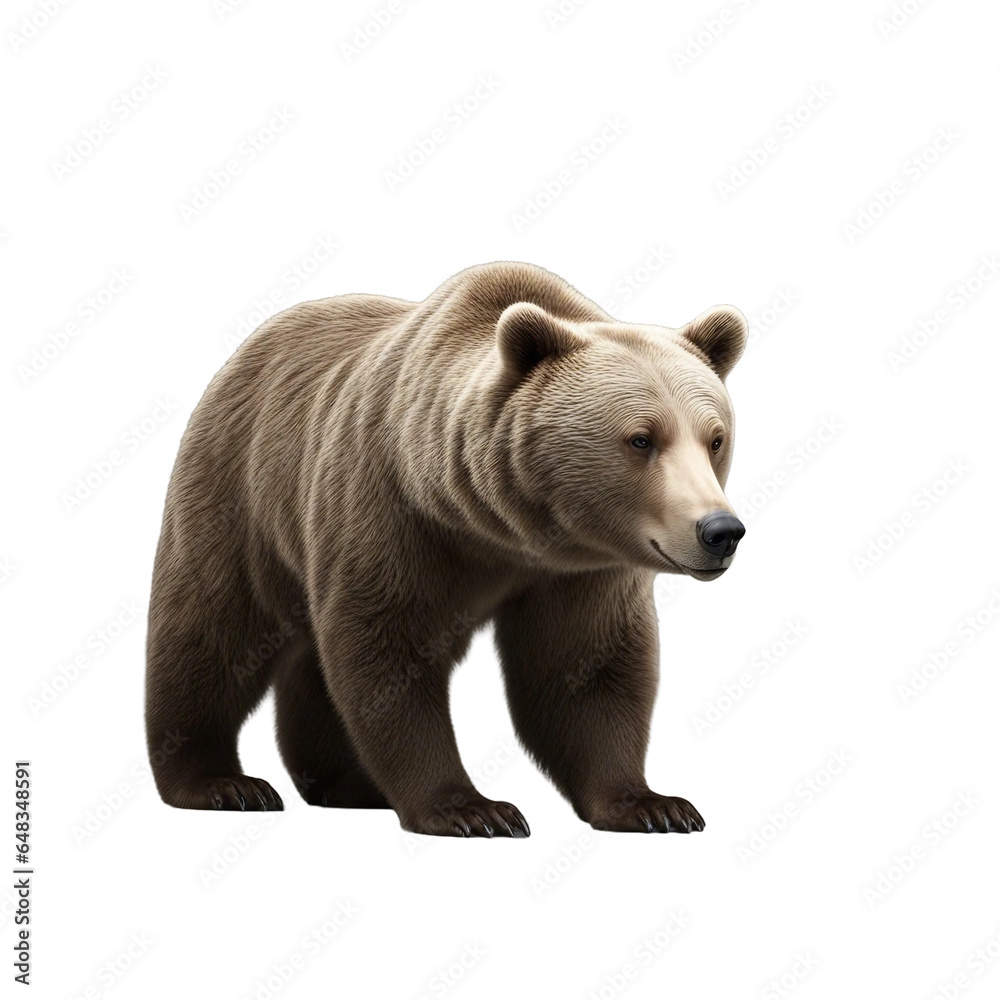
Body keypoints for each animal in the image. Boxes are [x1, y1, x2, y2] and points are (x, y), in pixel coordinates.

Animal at [145, 261, 747, 837]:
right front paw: (473, 810)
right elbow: (387, 650)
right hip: (243, 488)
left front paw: (653, 805)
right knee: (212, 626)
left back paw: (347, 783)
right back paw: (220, 782)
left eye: (715, 438)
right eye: (642, 438)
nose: (720, 530)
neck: (505, 530)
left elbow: (584, 668)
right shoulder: (395, 513)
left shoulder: (585, 567)